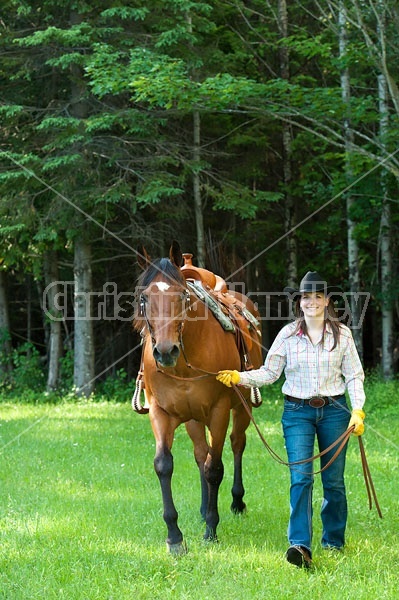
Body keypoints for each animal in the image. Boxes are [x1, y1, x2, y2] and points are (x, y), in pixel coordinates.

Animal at [134, 240, 264, 552]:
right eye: (144, 298)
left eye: (182, 297)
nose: (165, 351)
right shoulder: (160, 413)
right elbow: (164, 465)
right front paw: (174, 536)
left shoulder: (219, 411)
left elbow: (215, 468)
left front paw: (211, 530)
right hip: (193, 418)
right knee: (200, 454)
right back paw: (205, 507)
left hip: (241, 408)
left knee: (236, 444)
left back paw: (236, 501)